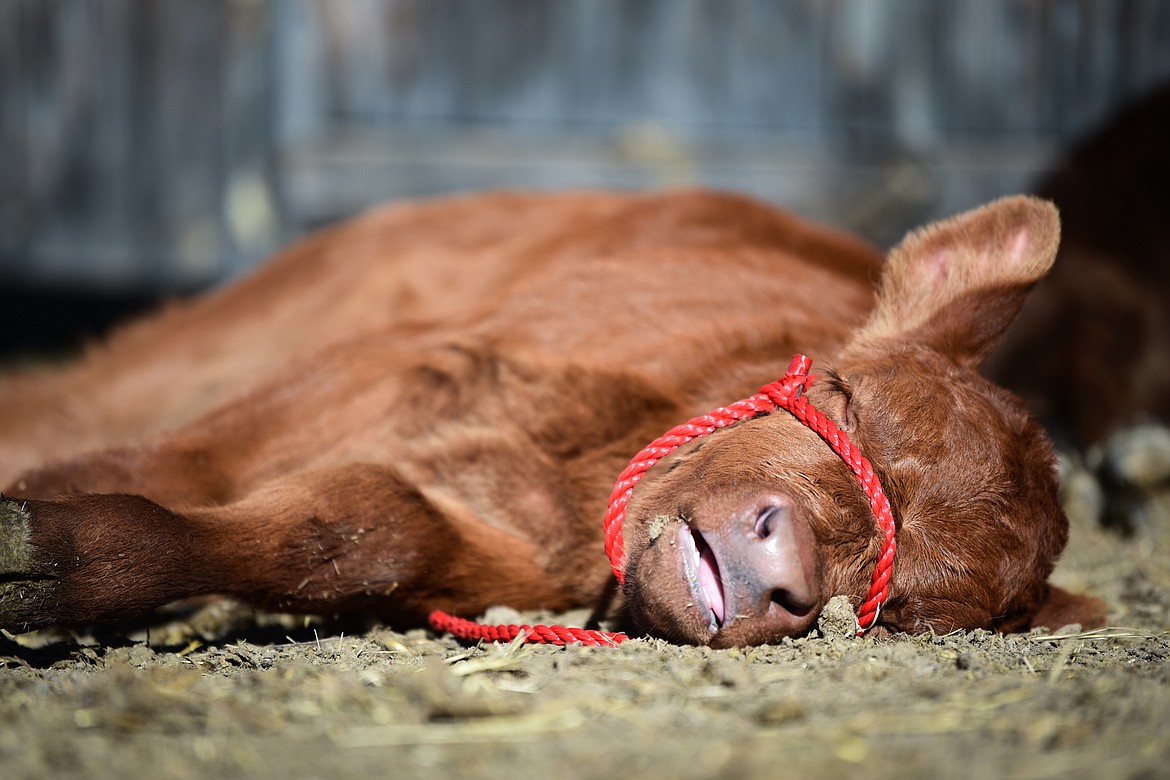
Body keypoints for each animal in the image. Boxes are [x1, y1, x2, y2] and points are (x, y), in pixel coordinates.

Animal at [0, 189, 1104, 645]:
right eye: (840, 395)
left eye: (900, 607)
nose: (780, 564)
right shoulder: (406, 354)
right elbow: (180, 461)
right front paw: (42, 527)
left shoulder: (497, 555)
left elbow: (356, 528)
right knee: (67, 401)